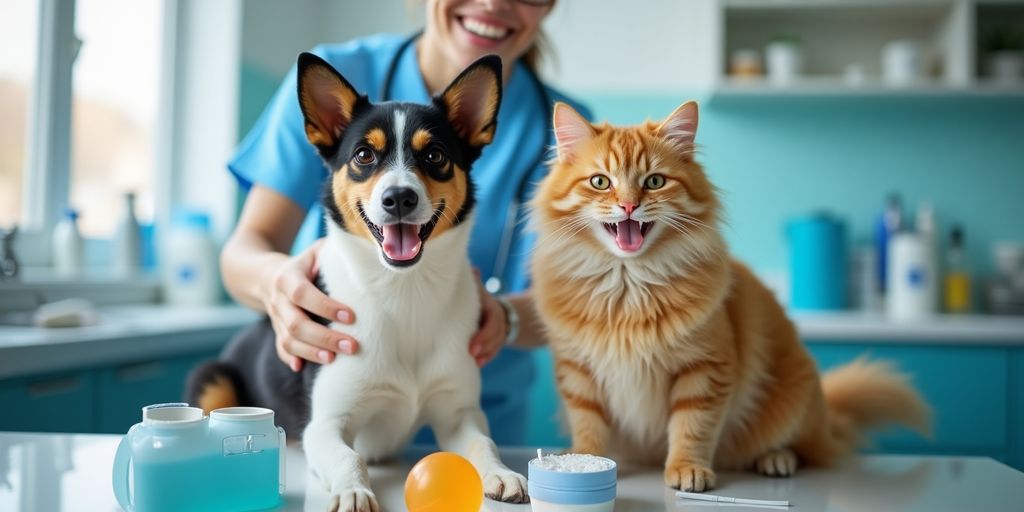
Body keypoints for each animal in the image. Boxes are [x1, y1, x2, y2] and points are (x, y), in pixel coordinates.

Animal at [185, 52, 532, 512]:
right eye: (364, 155)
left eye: (435, 155)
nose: (398, 198)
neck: (404, 291)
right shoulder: (327, 423)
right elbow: (348, 457)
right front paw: (353, 490)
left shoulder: (459, 412)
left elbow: (483, 443)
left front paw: (501, 472)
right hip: (213, 378)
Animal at [532, 100, 933, 491]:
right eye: (600, 182)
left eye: (654, 181)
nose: (629, 206)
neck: (628, 285)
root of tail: (827, 418)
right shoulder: (578, 374)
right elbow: (589, 427)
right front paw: (583, 460)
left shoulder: (706, 369)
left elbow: (691, 428)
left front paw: (687, 469)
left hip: (794, 399)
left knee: (803, 450)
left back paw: (776, 460)